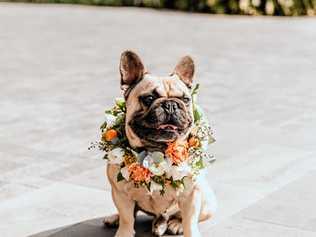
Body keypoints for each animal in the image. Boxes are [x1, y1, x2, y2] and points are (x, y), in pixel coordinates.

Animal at [103, 51, 217, 236]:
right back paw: (115, 218)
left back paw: (175, 224)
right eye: (149, 98)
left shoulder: (191, 195)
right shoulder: (121, 195)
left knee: (178, 216)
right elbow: (127, 219)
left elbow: (190, 222)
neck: (156, 152)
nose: (170, 105)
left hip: (205, 202)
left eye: (186, 99)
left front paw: (186, 228)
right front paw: (123, 231)